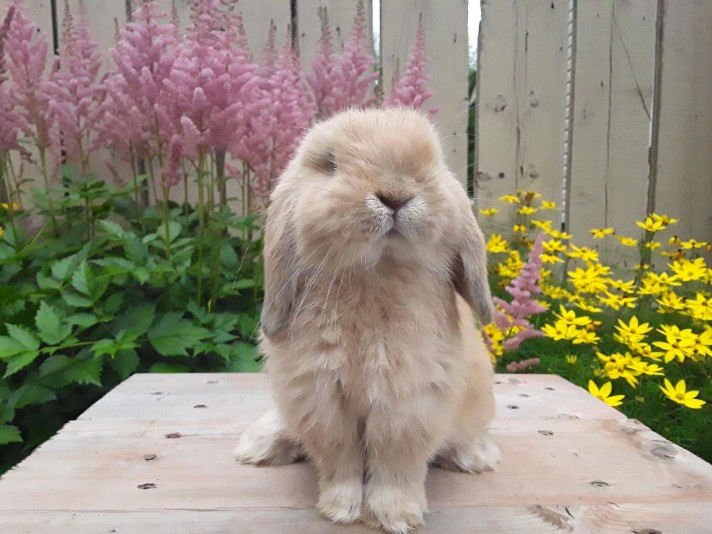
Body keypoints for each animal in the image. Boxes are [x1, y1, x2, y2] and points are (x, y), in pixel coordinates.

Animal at [236, 107, 498, 532]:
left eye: (433, 162)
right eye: (330, 163)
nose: (395, 195)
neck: (374, 274)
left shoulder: (409, 403)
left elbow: (396, 461)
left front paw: (396, 516)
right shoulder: (320, 399)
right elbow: (338, 457)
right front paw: (340, 509)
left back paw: (476, 456)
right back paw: (259, 446)